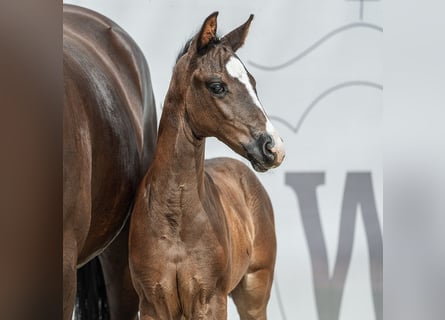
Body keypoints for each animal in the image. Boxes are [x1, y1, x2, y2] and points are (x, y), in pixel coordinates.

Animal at [128, 12, 284, 320]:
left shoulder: (210, 300)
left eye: (253, 83)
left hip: (254, 292)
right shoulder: (151, 303)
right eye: (217, 86)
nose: (273, 147)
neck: (175, 217)